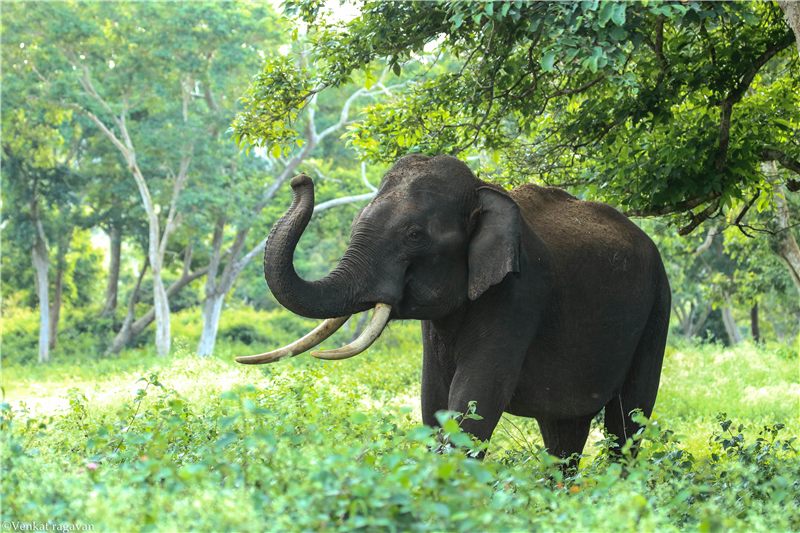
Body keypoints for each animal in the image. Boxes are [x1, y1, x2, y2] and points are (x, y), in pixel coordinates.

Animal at [237, 154, 671, 466]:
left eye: (414, 234)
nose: (300, 180)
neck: (483, 189)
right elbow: (434, 401)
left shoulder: (519, 294)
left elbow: (474, 400)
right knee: (563, 432)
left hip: (658, 308)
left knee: (628, 419)